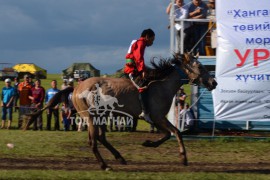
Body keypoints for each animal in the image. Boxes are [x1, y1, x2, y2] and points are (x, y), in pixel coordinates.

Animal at [23, 53, 217, 170]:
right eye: (201, 67)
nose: (213, 83)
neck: (161, 85)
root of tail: (76, 87)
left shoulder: (157, 119)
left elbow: (170, 134)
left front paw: (150, 144)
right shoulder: (157, 117)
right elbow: (175, 132)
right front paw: (183, 157)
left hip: (101, 117)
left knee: (101, 138)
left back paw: (119, 157)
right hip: (91, 118)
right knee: (93, 141)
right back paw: (104, 165)